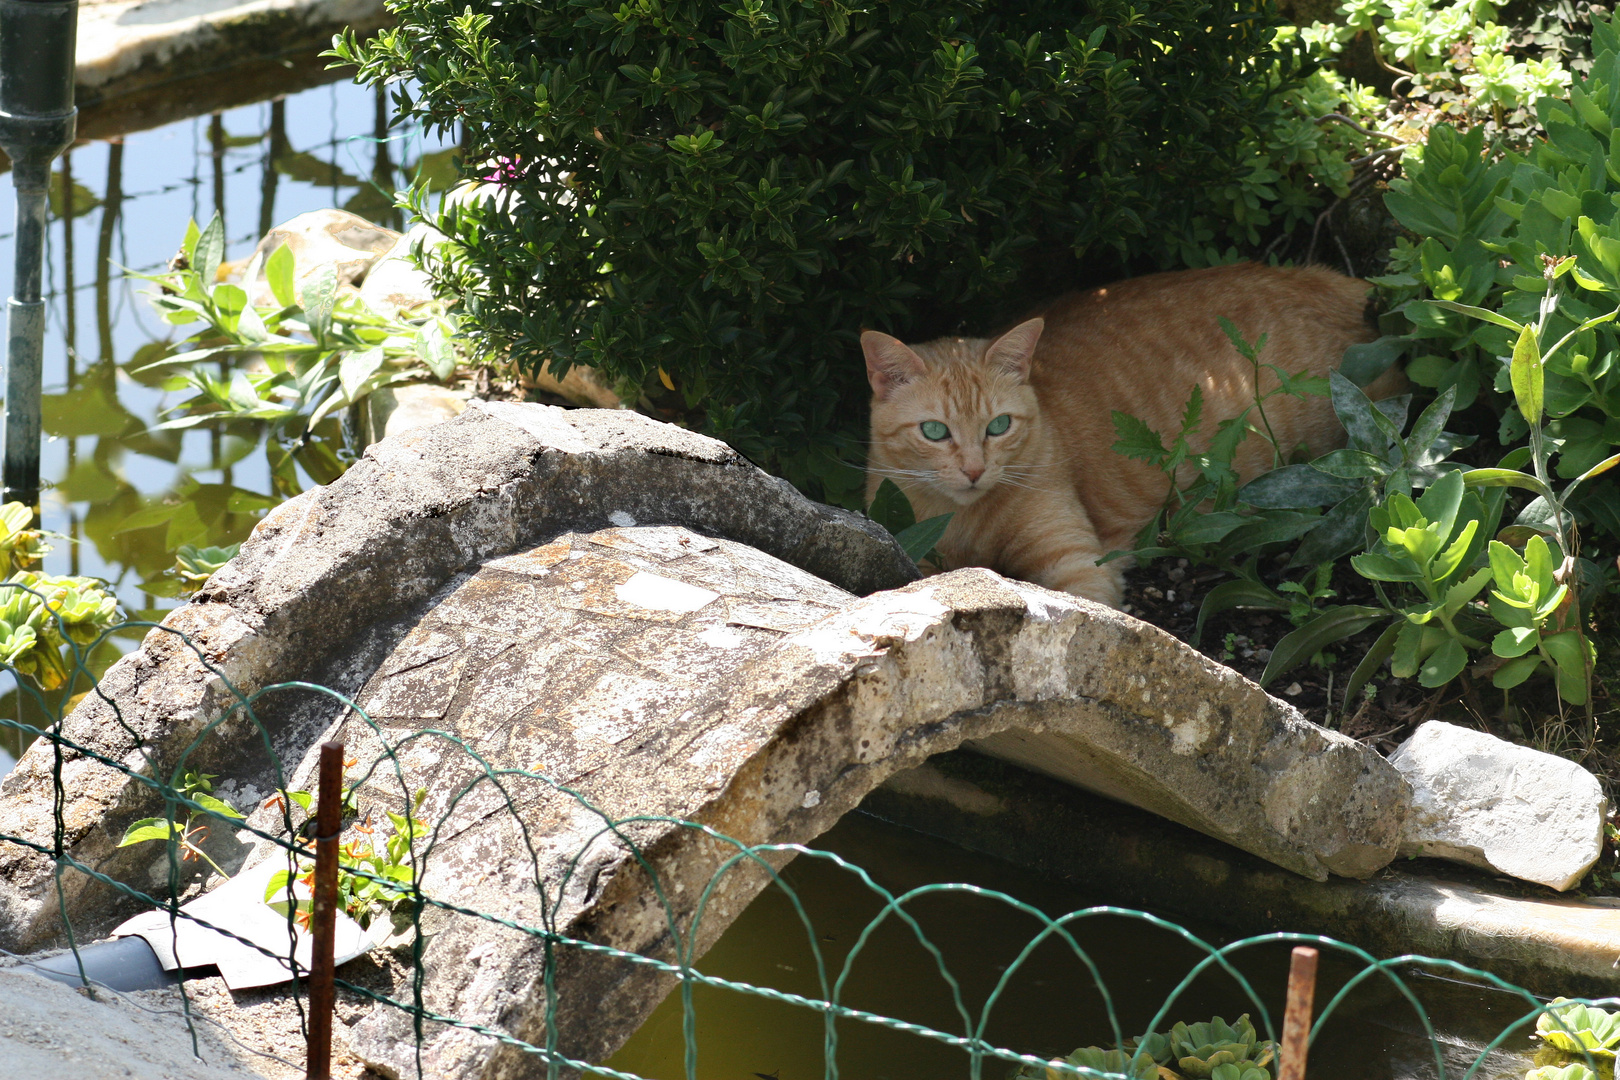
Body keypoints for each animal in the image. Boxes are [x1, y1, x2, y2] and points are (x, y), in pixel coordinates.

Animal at [861, 262, 1406, 608]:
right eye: (935, 431)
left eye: (999, 426)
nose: (974, 470)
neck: (967, 523)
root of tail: (1336, 282)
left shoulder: (1078, 562)